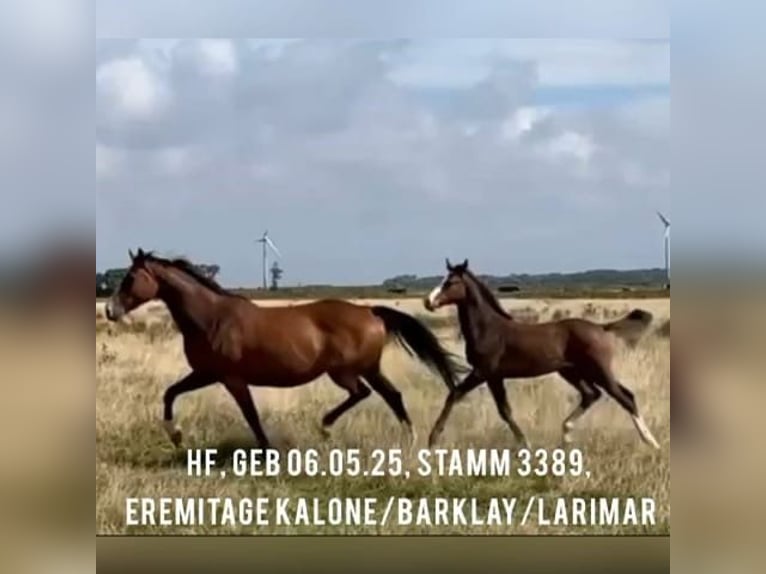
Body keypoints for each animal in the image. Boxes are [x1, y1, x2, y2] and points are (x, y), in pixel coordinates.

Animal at [104, 249, 463, 449]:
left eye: (132, 277)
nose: (110, 310)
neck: (211, 318)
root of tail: (371, 312)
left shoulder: (231, 378)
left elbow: (250, 415)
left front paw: (266, 450)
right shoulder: (206, 373)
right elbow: (170, 393)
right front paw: (175, 435)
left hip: (345, 372)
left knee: (362, 393)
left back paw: (326, 427)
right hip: (368, 368)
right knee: (392, 395)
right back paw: (411, 440)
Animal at [422, 258, 661, 450]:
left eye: (450, 282)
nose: (428, 302)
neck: (488, 329)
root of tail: (601, 327)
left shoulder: (482, 372)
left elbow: (455, 395)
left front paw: (432, 440)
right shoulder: (494, 376)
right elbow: (504, 411)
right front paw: (525, 444)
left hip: (597, 369)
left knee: (624, 396)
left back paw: (651, 442)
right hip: (571, 372)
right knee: (591, 394)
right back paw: (566, 435)